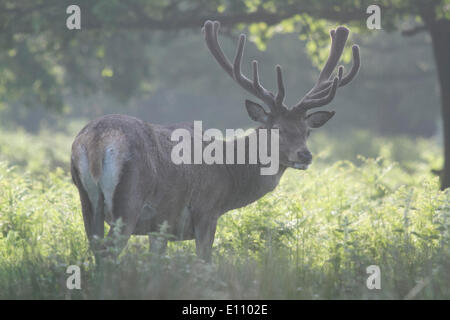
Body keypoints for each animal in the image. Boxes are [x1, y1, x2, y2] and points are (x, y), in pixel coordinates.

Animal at [69, 20, 358, 262]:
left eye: (307, 131)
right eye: (275, 129)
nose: (305, 155)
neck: (229, 177)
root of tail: (95, 141)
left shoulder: (160, 226)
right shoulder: (206, 210)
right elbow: (205, 263)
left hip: (87, 199)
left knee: (94, 248)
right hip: (129, 198)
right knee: (108, 253)